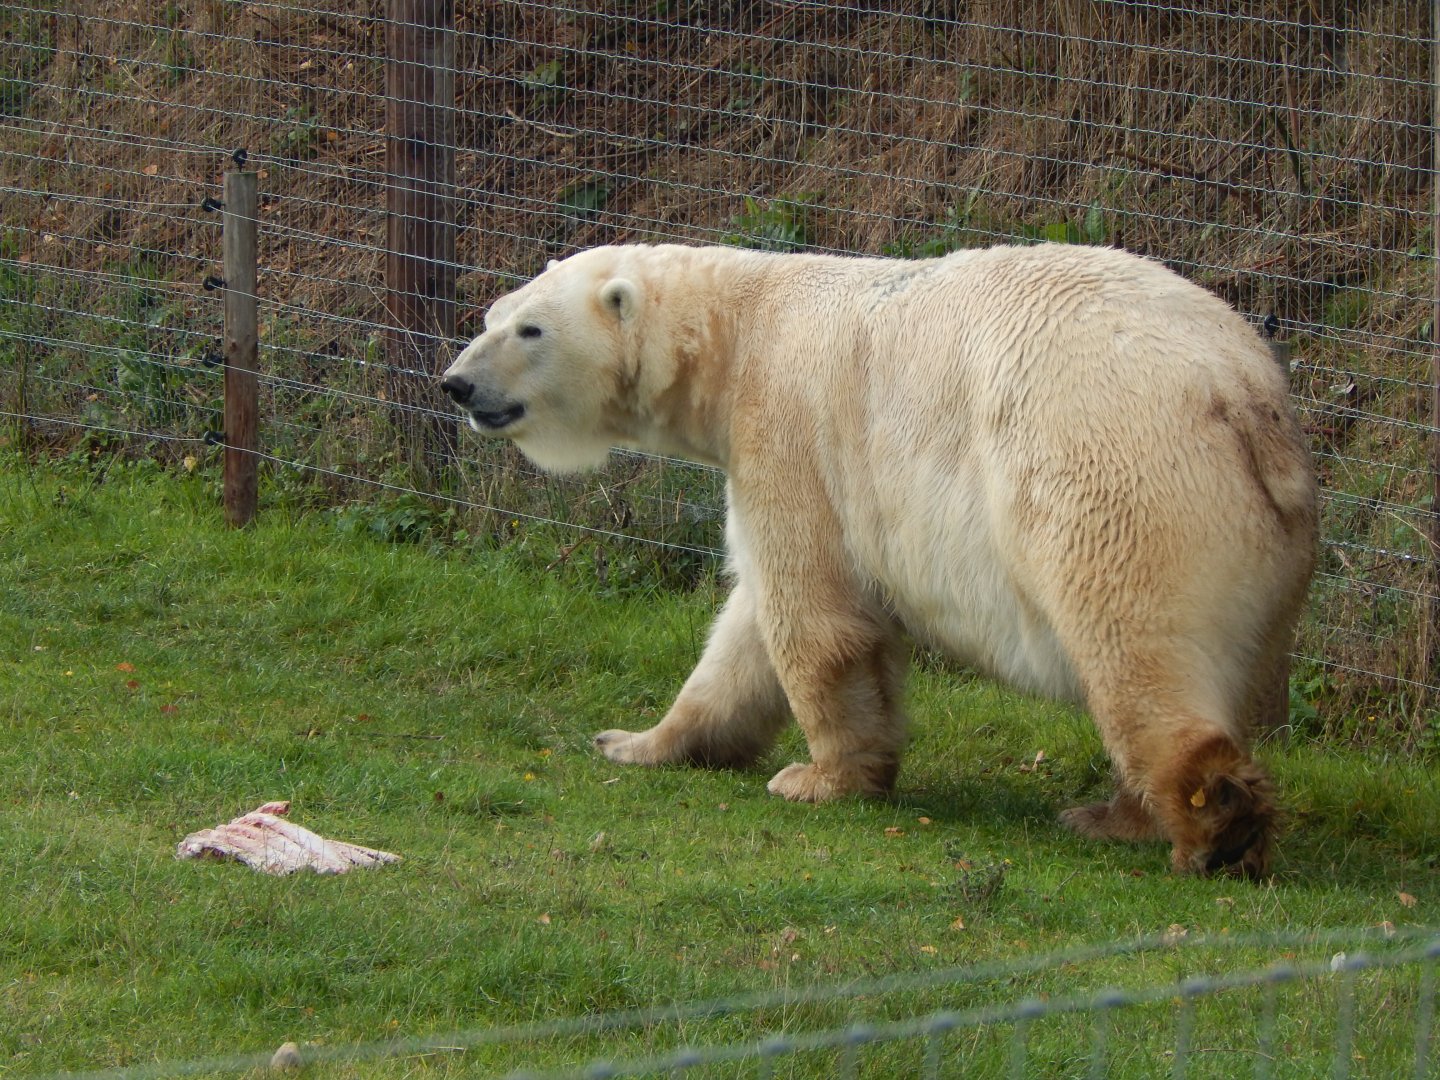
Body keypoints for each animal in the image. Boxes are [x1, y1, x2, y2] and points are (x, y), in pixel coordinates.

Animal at [441, 242, 1318, 879]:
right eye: (492, 314)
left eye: (529, 329)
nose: (456, 384)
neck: (739, 326)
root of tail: (1244, 398)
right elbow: (744, 635)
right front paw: (634, 741)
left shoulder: (787, 431)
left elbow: (811, 616)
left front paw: (817, 780)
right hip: (1269, 552)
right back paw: (1116, 815)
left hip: (1119, 479)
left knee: (1134, 648)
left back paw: (1207, 826)